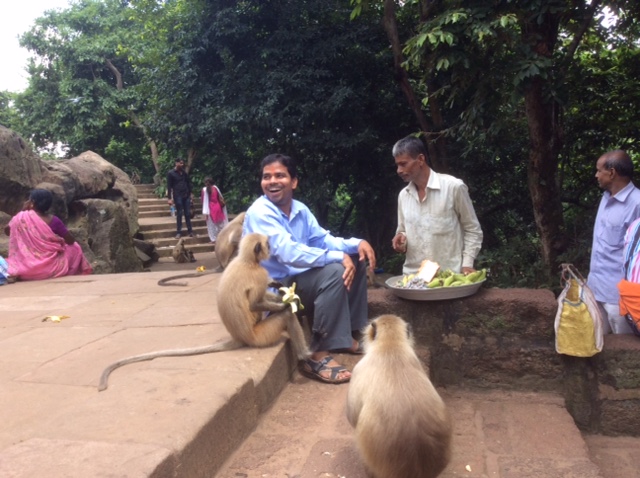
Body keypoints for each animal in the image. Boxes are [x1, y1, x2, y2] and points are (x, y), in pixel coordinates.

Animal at [98, 232, 310, 391]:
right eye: (266, 244)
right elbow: (255, 305)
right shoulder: (258, 274)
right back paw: (305, 355)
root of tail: (240, 337)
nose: (271, 248)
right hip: (260, 336)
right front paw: (286, 304)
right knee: (285, 318)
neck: (246, 261)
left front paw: (281, 291)